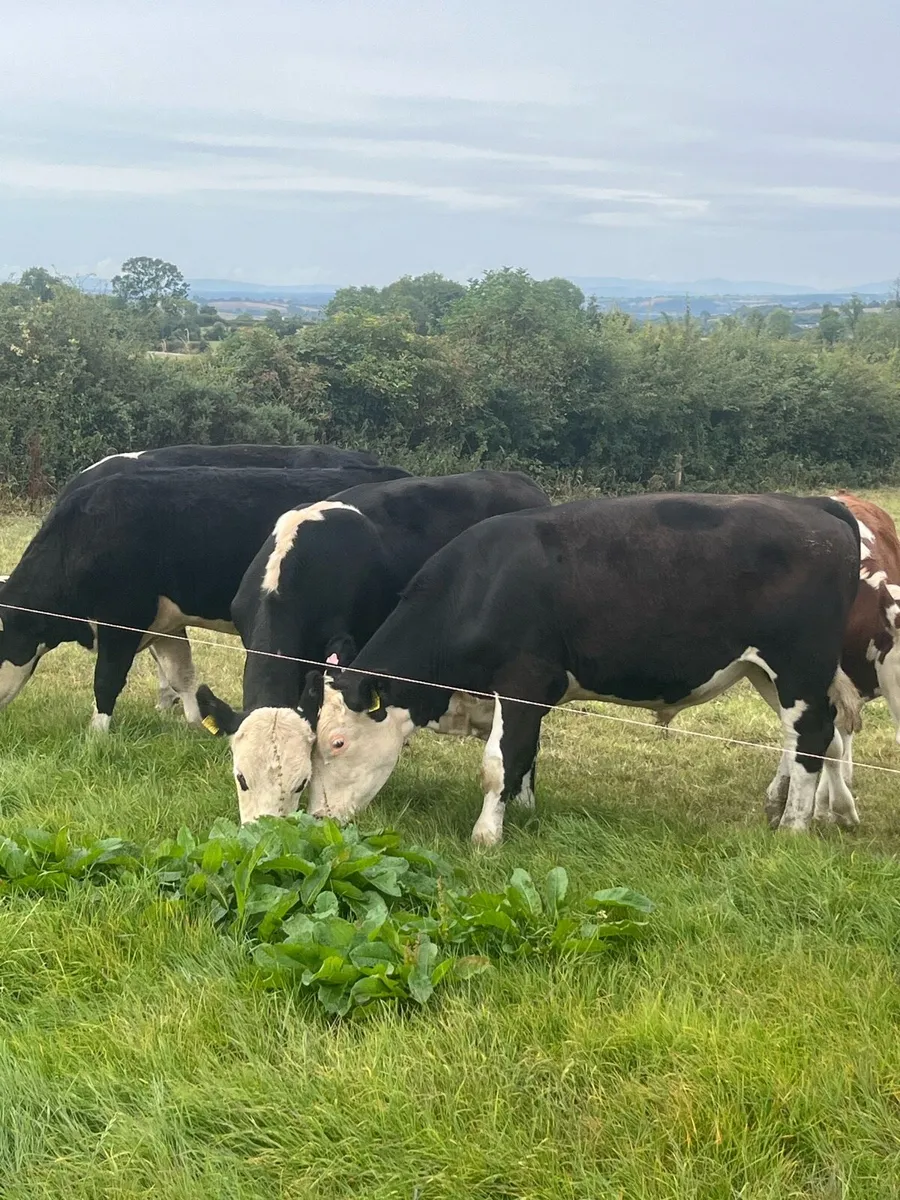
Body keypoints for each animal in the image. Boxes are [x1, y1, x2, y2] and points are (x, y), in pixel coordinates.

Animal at [0, 464, 409, 732]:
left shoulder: (123, 621)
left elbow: (106, 679)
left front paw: (95, 738)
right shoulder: (164, 624)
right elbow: (181, 676)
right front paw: (196, 727)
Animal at [297, 493, 861, 845]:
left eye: (337, 743)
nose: (319, 819)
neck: (481, 587)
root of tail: (815, 505)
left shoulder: (523, 683)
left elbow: (499, 762)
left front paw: (487, 836)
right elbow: (525, 755)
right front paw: (524, 809)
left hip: (798, 664)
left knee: (813, 735)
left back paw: (793, 827)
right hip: (766, 672)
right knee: (809, 735)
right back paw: (795, 808)